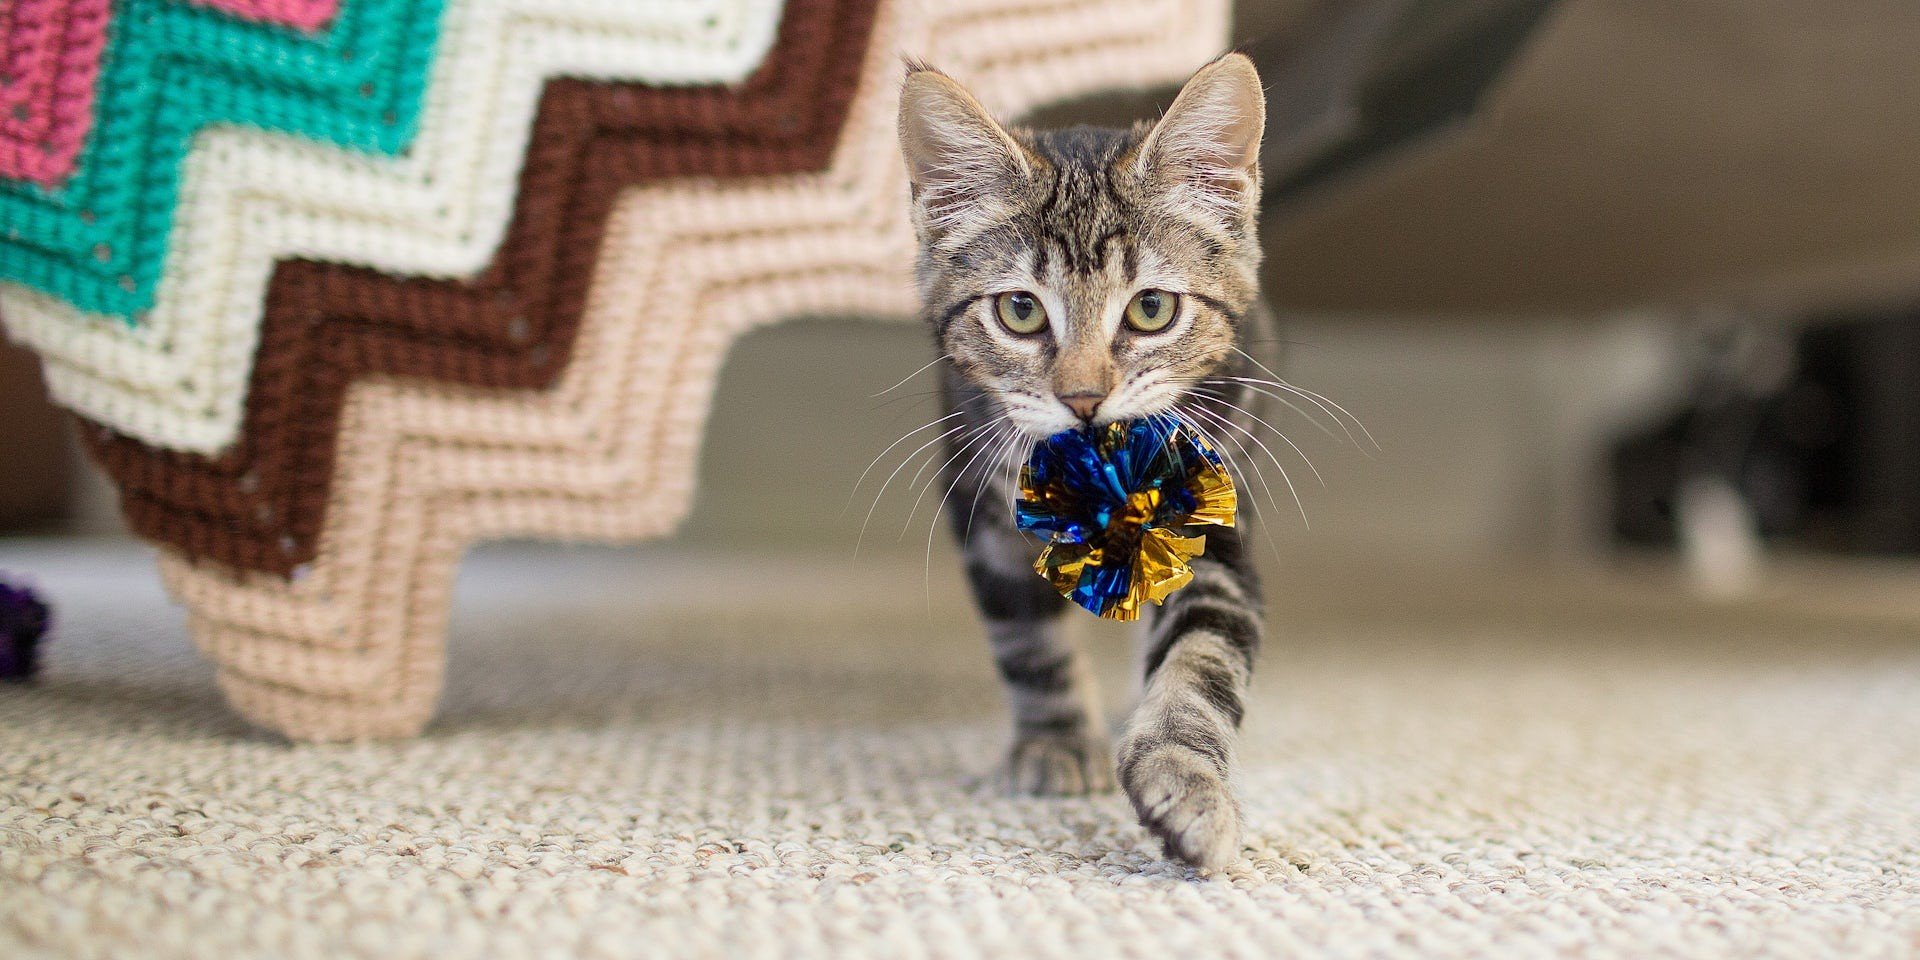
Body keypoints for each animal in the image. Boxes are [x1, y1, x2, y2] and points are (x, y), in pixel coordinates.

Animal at [902, 54, 1274, 871]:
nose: (1082, 398)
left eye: (1151, 309)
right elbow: (1028, 640)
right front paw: (1057, 742)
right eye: (1019, 311)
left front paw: (1187, 785)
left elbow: (1202, 656)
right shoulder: (983, 511)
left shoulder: (1211, 513)